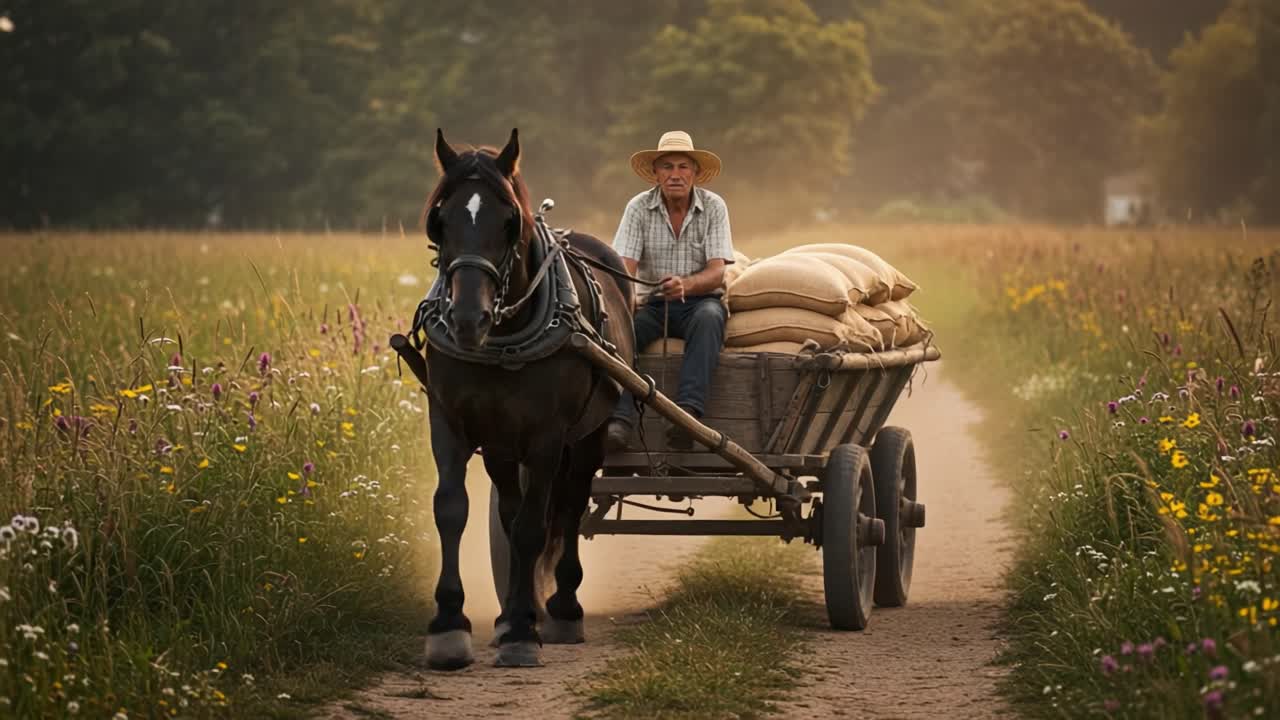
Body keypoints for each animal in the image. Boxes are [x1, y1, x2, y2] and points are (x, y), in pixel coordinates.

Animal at [417, 128, 635, 669]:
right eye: (440, 219)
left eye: (509, 221)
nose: (466, 319)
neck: (502, 340)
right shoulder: (449, 421)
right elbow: (453, 509)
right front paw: (450, 624)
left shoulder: (546, 436)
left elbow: (536, 526)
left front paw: (521, 632)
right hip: (500, 445)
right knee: (511, 513)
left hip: (586, 438)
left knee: (569, 507)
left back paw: (561, 609)